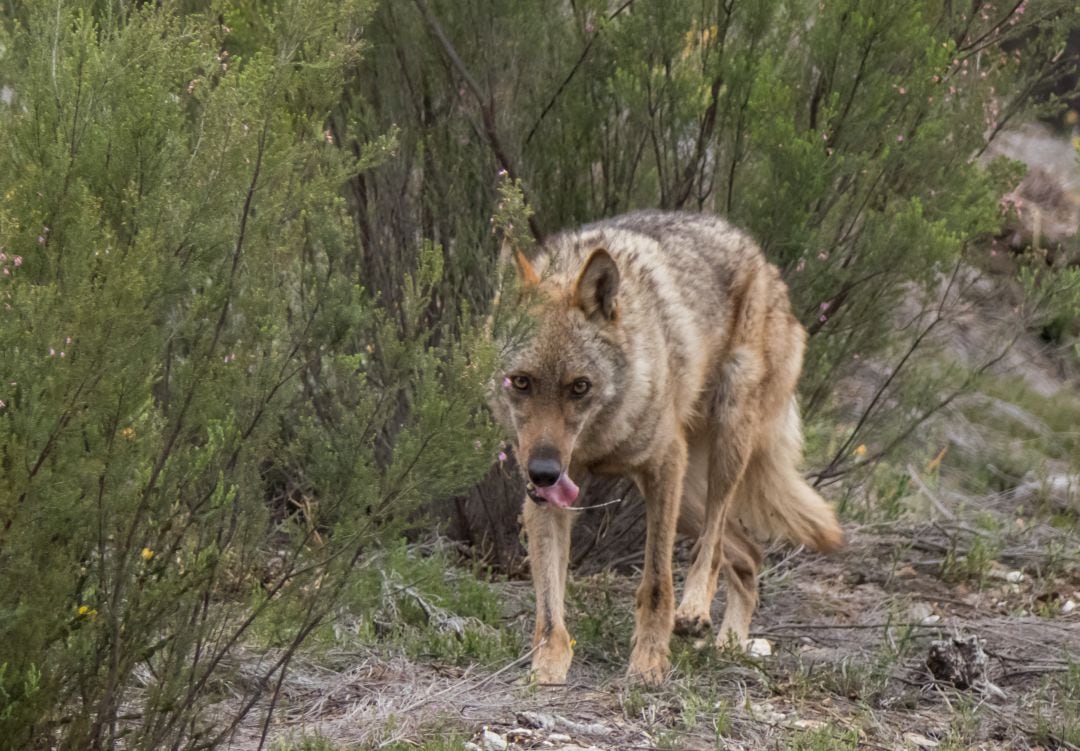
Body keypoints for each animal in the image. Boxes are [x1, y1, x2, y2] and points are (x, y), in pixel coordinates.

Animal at [490, 211, 842, 687]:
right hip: (689, 499)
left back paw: (695, 611)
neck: (600, 439)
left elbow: (657, 582)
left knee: (713, 545)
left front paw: (649, 663)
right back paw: (731, 643)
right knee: (749, 553)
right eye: (521, 382)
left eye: (579, 387)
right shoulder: (547, 498)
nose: (543, 471)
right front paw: (547, 665)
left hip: (723, 450)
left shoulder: (662, 467)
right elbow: (548, 601)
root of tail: (763, 261)